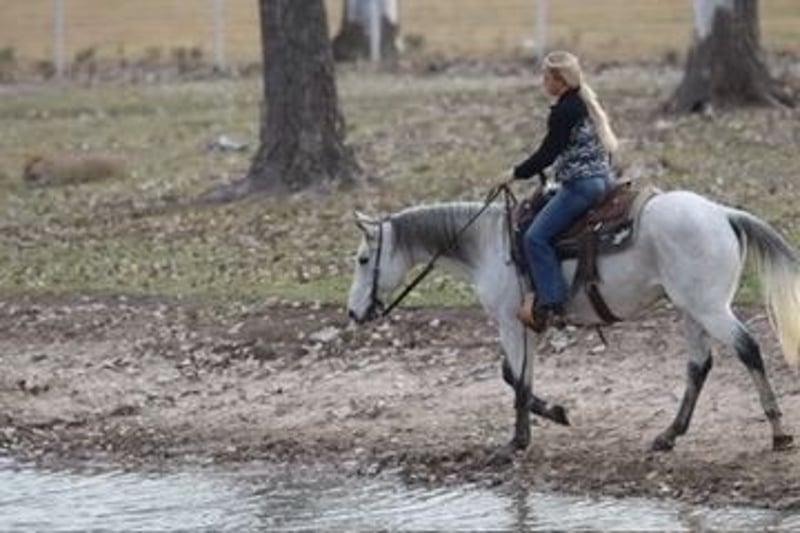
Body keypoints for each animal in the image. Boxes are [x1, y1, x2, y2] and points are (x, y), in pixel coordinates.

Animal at [346, 189, 800, 462]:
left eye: (363, 260)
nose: (353, 313)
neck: (489, 244)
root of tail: (724, 214)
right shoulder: (528, 327)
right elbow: (514, 377)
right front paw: (556, 413)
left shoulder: (511, 324)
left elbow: (517, 380)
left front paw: (516, 443)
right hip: (692, 311)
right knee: (699, 367)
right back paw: (669, 434)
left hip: (709, 309)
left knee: (749, 349)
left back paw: (778, 431)